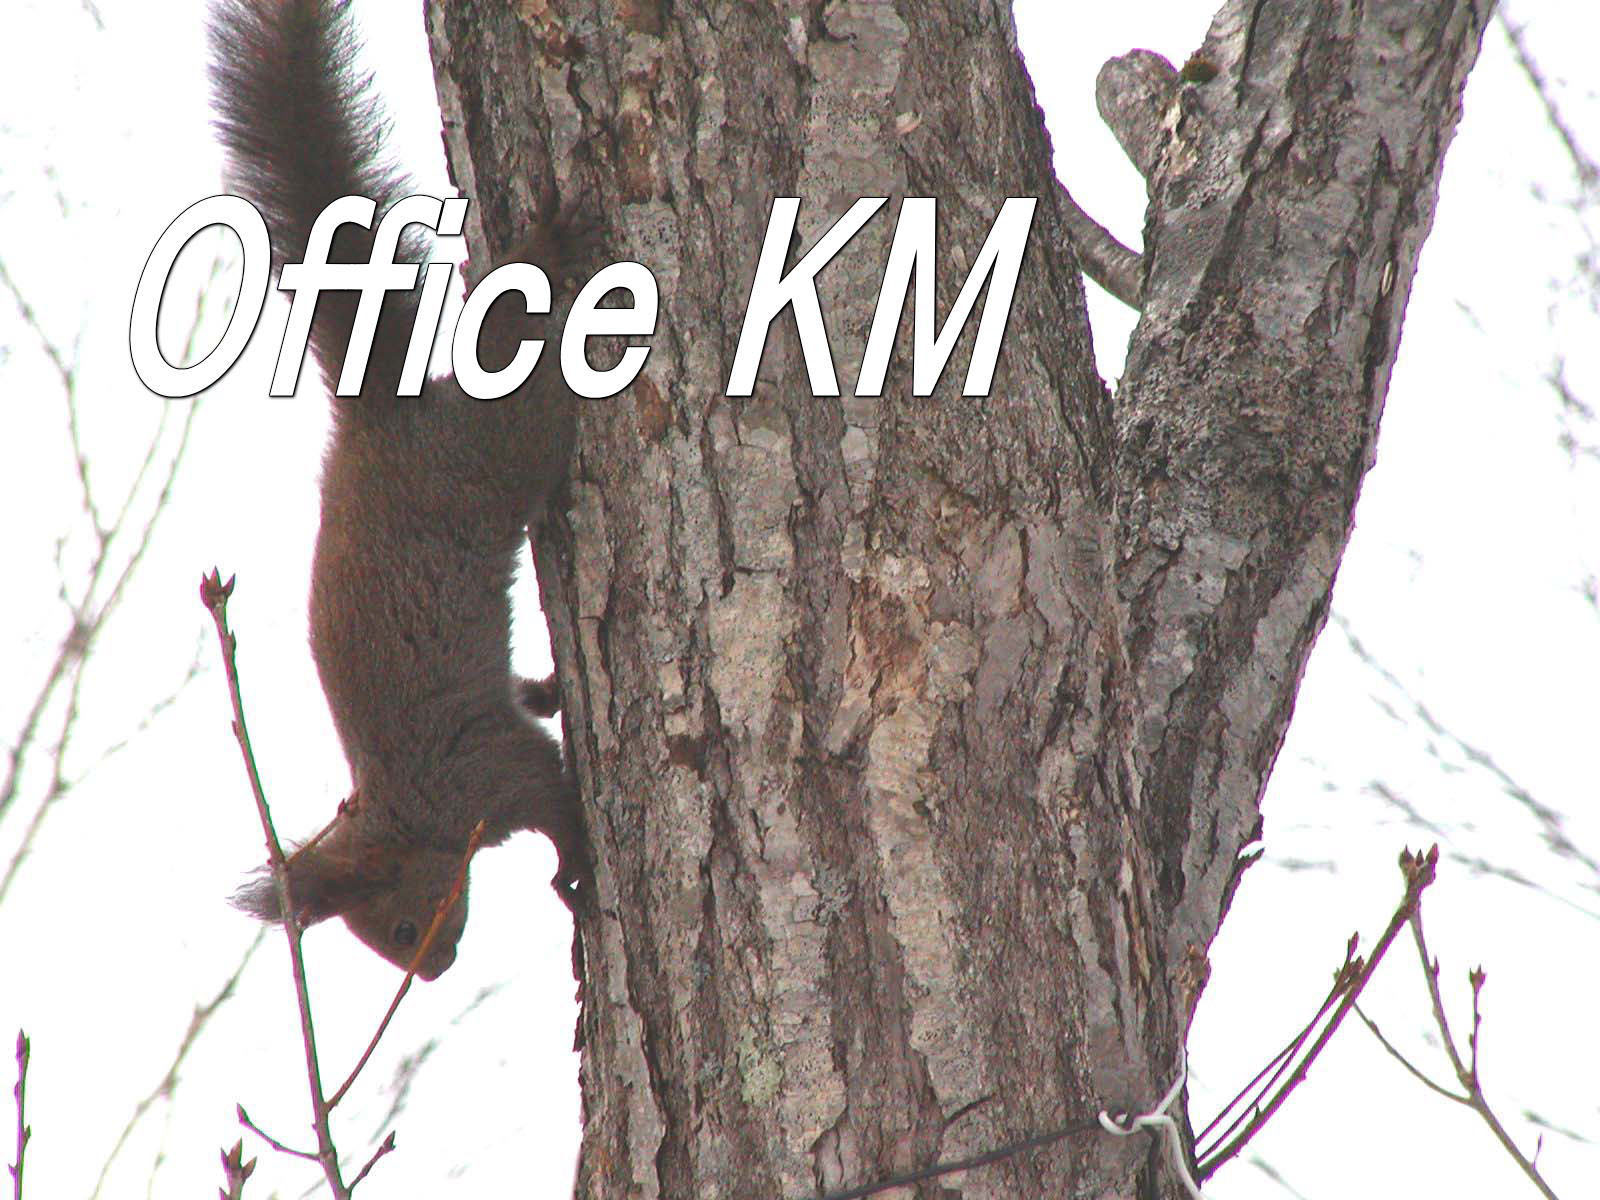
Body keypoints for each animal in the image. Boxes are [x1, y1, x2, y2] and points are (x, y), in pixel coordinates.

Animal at [210, 0, 593, 979]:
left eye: (392, 927)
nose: (433, 970)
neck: (408, 813)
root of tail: (376, 420)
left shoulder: (474, 773)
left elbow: (552, 790)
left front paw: (573, 875)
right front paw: (544, 693)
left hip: (491, 449)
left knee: (520, 348)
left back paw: (549, 252)